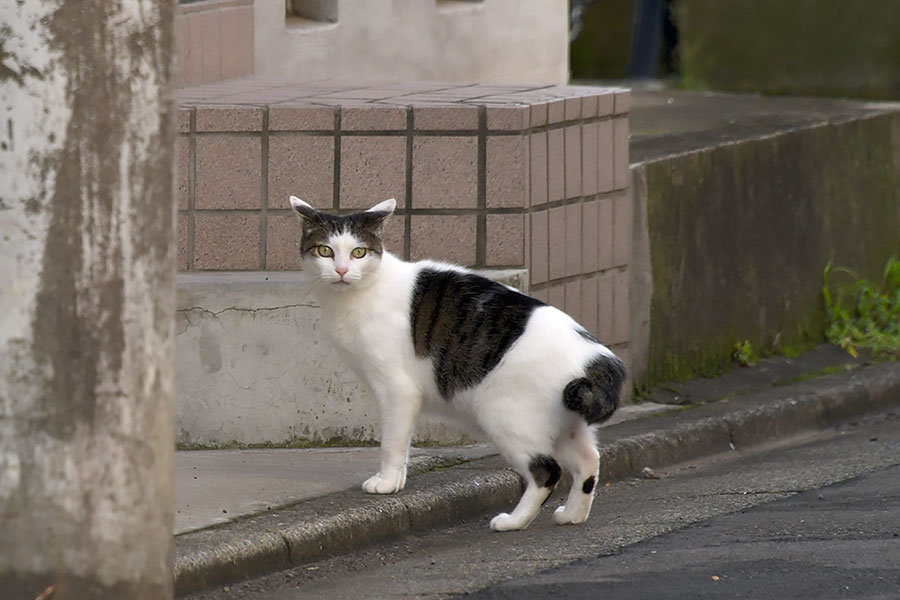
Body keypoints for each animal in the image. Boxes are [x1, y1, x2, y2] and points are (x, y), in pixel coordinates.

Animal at [290, 197, 624, 528]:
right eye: (325, 251)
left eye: (358, 252)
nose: (341, 270)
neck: (356, 295)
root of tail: (599, 356)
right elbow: (404, 440)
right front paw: (397, 481)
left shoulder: (397, 390)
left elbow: (392, 441)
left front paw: (385, 482)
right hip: (566, 421)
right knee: (588, 460)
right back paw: (573, 515)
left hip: (506, 416)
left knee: (546, 471)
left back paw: (512, 521)